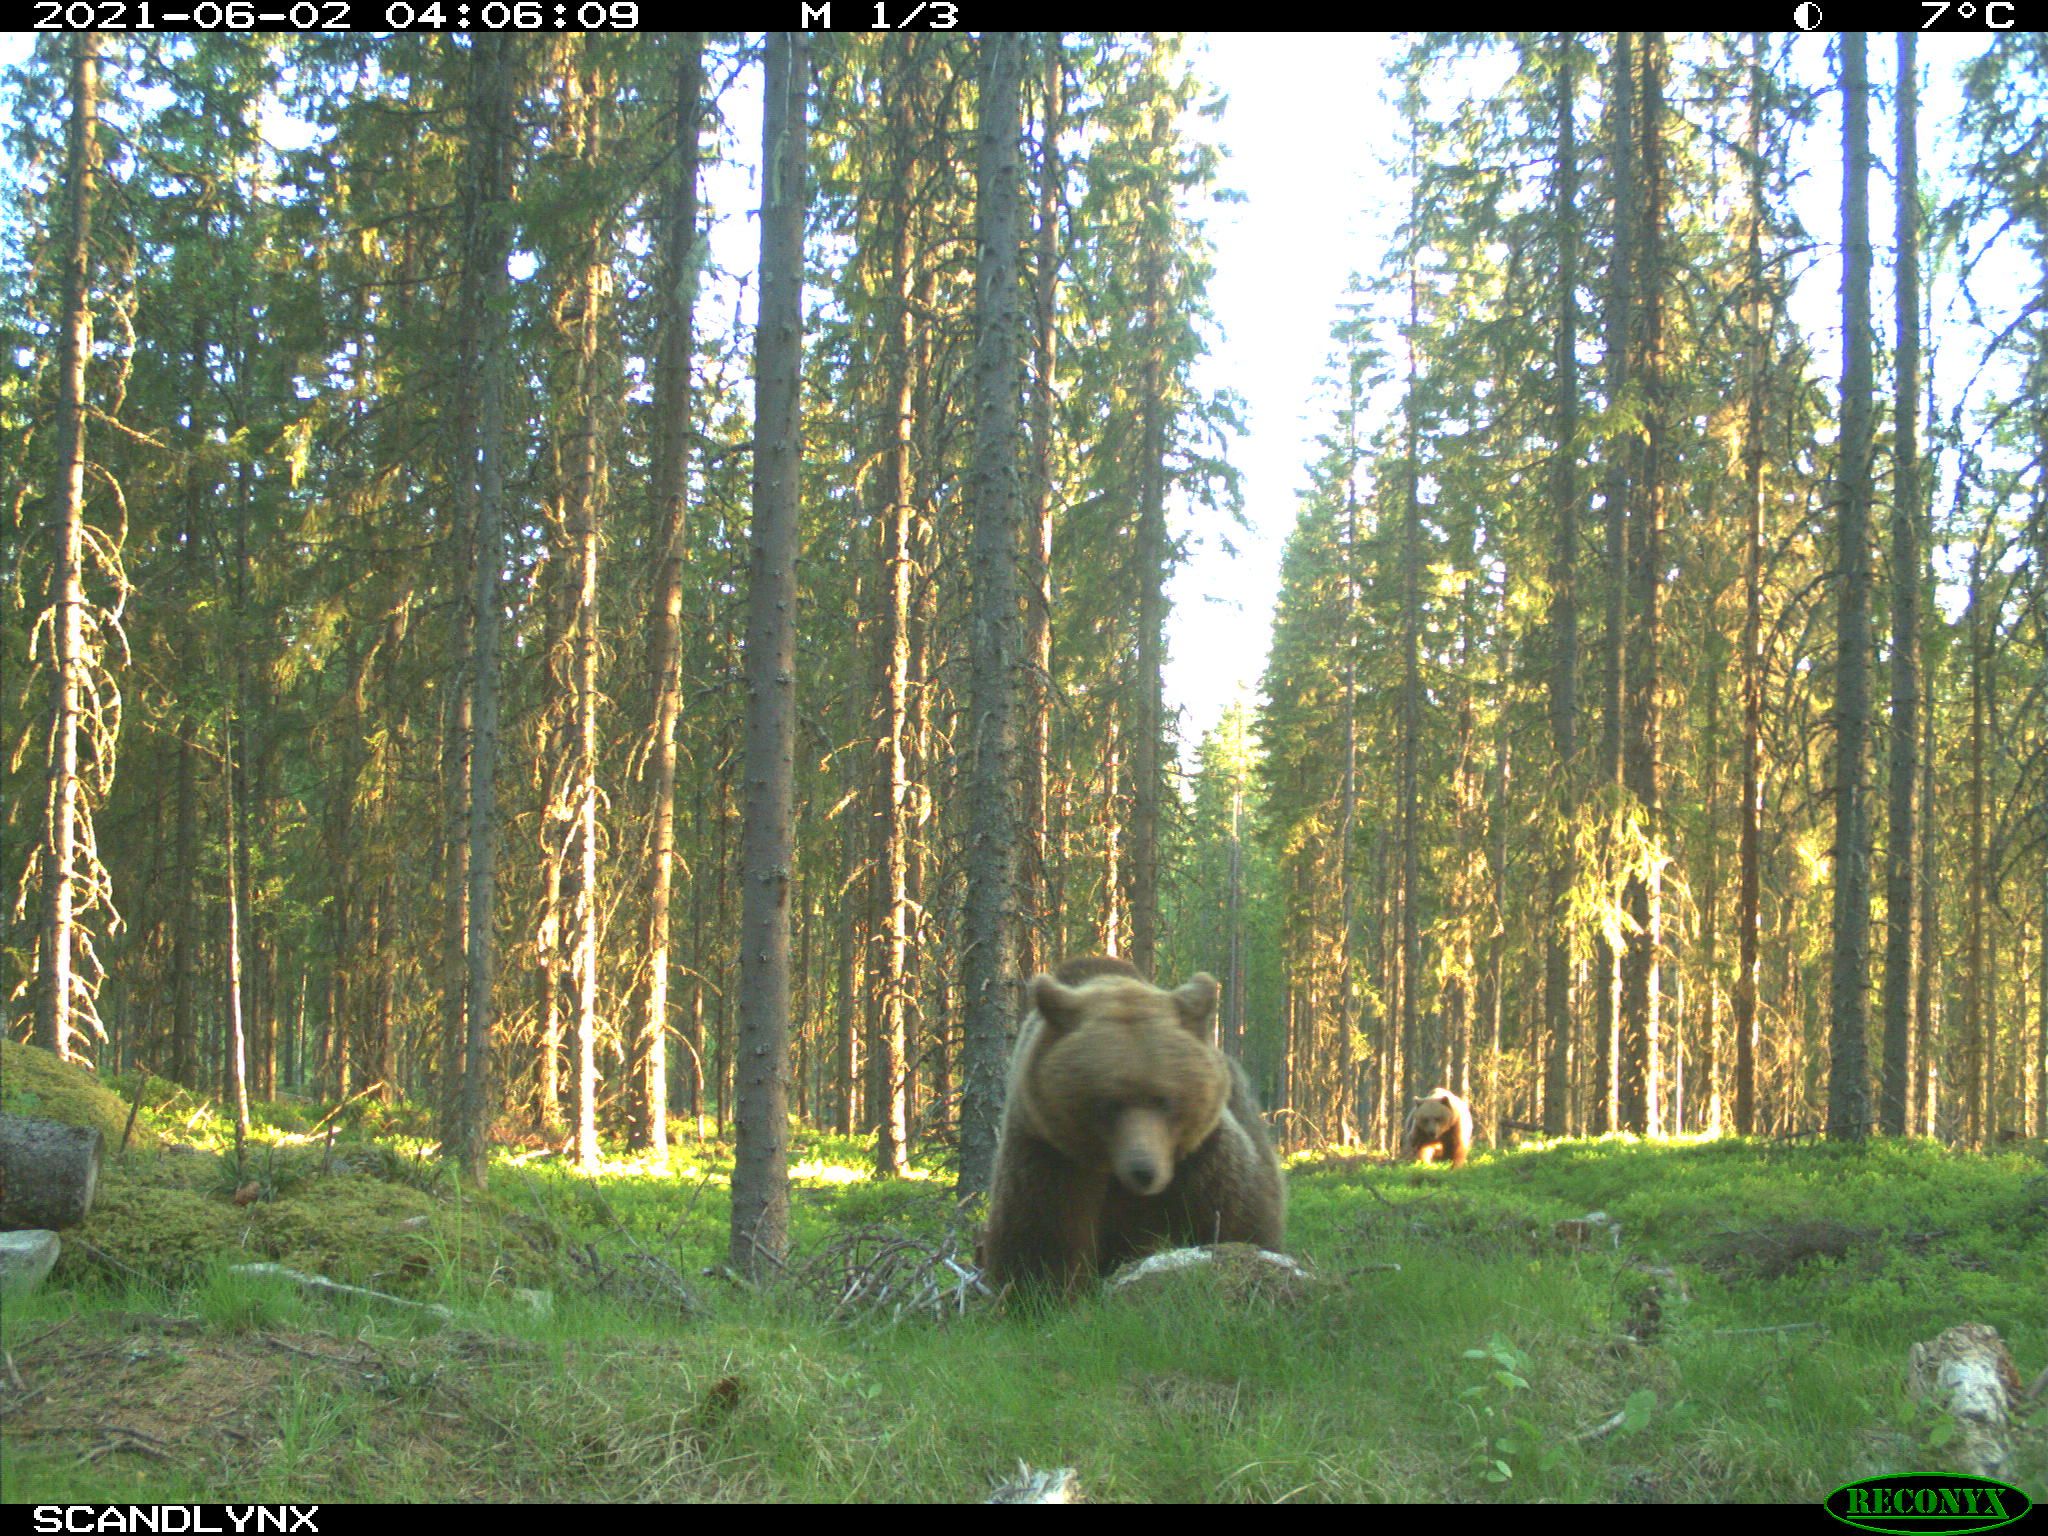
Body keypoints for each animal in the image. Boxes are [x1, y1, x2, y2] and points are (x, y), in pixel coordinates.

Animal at [974, 958, 1277, 1294]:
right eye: (1109, 1103)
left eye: (1165, 1100)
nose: (1144, 1171)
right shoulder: (1051, 1156)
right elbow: (1039, 1241)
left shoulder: (1199, 1157)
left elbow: (1237, 1216)